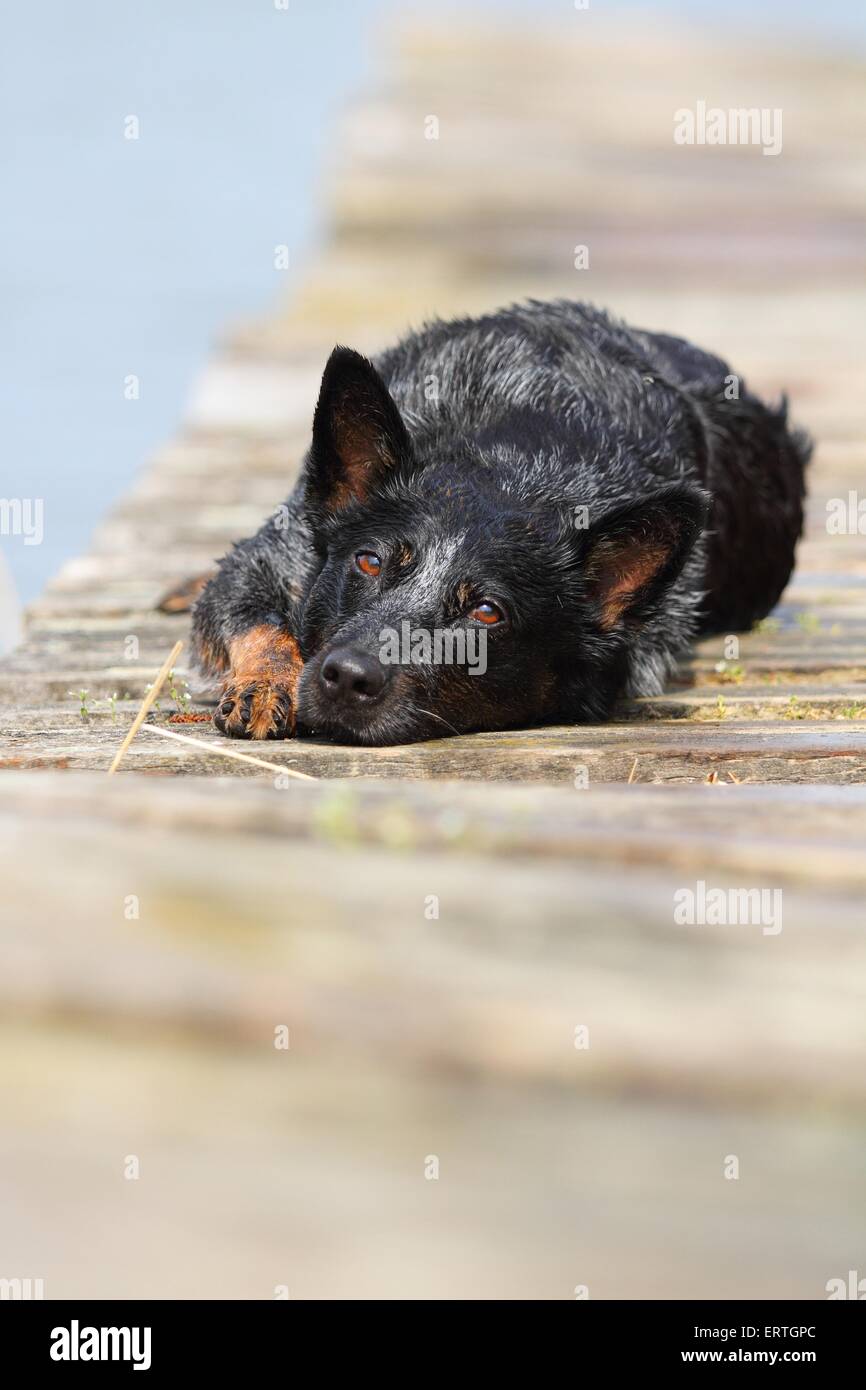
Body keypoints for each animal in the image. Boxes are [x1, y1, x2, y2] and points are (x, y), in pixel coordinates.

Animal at [186, 298, 811, 745]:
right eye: (369, 561)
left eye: (487, 613)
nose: (349, 675)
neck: (521, 459)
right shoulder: (273, 557)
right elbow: (251, 615)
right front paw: (267, 684)